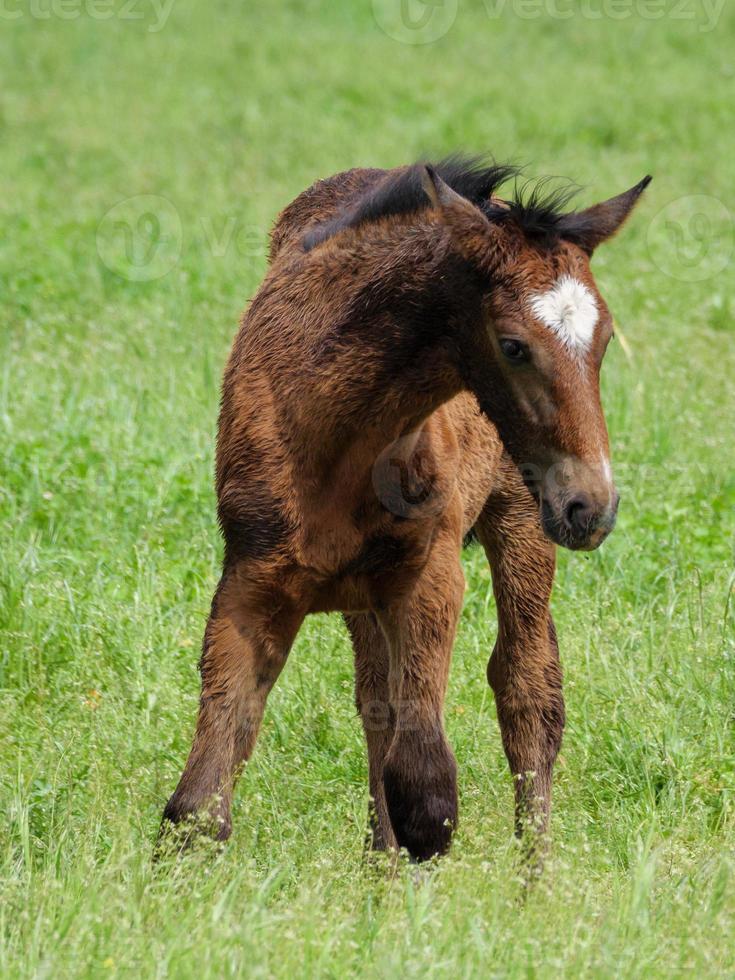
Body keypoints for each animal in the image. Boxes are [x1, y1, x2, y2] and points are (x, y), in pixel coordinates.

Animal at [161, 155, 648, 864]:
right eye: (513, 345)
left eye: (606, 339)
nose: (593, 506)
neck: (337, 435)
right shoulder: (251, 581)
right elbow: (196, 806)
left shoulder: (431, 576)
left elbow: (427, 798)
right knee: (377, 702)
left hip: (521, 517)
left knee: (528, 691)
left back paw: (536, 881)